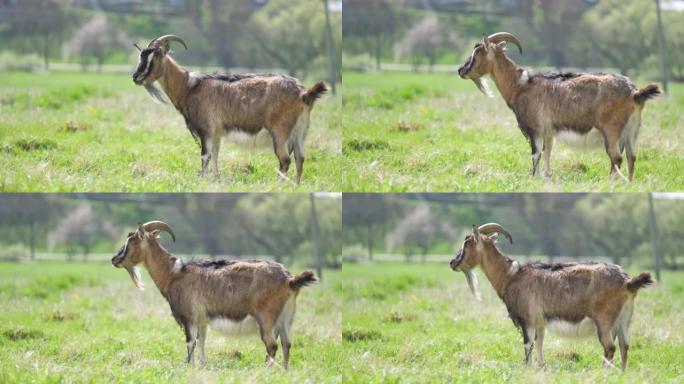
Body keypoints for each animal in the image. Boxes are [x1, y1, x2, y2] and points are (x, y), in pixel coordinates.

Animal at [111, 219, 316, 368]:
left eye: (130, 242)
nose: (114, 259)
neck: (173, 273)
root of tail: (289, 279)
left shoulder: (189, 317)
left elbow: (190, 342)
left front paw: (190, 366)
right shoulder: (202, 319)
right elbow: (201, 342)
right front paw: (202, 365)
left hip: (266, 318)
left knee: (272, 345)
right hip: (286, 318)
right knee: (287, 343)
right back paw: (285, 371)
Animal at [133, 35, 328, 184]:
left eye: (155, 57)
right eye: (141, 56)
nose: (136, 77)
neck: (189, 87)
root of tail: (303, 92)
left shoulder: (206, 129)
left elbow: (205, 155)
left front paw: (203, 179)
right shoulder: (217, 132)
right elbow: (215, 155)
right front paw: (215, 178)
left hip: (280, 131)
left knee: (285, 159)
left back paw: (279, 184)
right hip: (301, 131)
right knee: (300, 158)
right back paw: (296, 184)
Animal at [448, 224, 652, 370]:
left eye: (467, 244)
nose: (452, 263)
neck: (510, 276)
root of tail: (627, 280)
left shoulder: (527, 319)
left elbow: (528, 344)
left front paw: (528, 368)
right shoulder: (540, 321)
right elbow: (539, 343)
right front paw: (540, 366)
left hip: (604, 320)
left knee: (610, 347)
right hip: (625, 319)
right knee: (625, 346)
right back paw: (621, 372)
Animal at [456, 32, 660, 181]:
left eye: (476, 55)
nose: (460, 70)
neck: (521, 85)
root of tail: (634, 92)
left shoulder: (535, 129)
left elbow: (536, 154)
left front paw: (533, 178)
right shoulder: (549, 132)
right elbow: (547, 153)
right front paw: (546, 177)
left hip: (611, 131)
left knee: (616, 158)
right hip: (632, 130)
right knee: (631, 157)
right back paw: (629, 183)